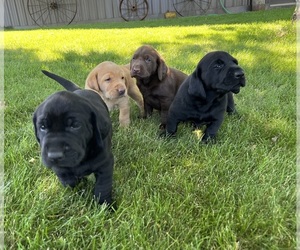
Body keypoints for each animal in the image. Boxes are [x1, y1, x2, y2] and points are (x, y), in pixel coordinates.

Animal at [33, 71, 114, 207]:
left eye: (75, 125)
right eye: (42, 127)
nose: (54, 155)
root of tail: (79, 90)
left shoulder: (106, 164)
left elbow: (103, 186)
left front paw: (104, 205)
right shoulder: (59, 167)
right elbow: (66, 177)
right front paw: (75, 183)